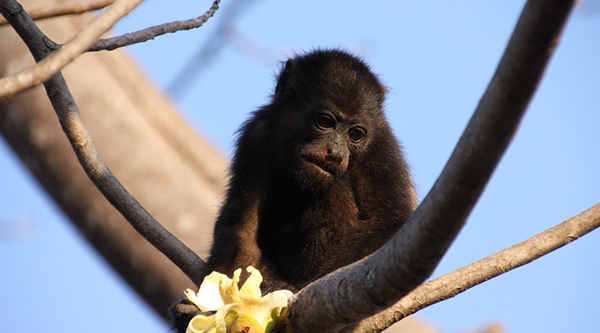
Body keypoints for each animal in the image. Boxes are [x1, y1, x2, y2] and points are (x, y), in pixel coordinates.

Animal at [171, 49, 414, 330]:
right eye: (325, 122)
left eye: (356, 135)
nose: (336, 153)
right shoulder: (257, 132)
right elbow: (242, 226)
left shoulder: (381, 146)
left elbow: (389, 222)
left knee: (334, 187)